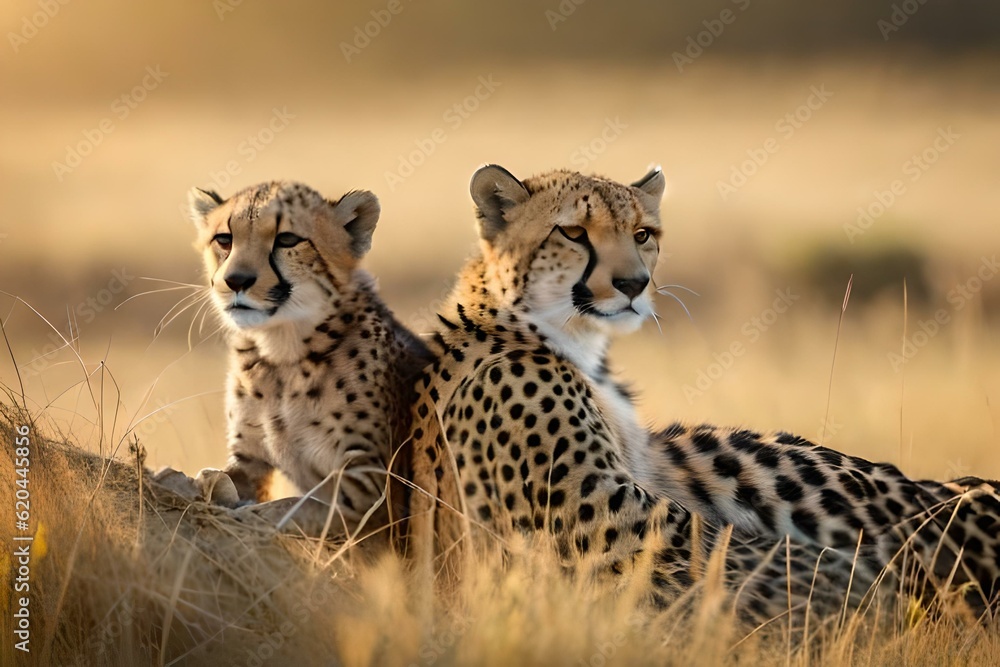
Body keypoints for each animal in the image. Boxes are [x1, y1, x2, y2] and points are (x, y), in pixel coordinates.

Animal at [189, 180, 431, 539]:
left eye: (287, 239)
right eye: (224, 239)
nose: (236, 281)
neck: (282, 353)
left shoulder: (371, 489)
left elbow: (290, 507)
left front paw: (245, 517)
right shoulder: (249, 458)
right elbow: (220, 477)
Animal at [404, 164, 886, 628]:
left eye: (642, 234)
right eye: (573, 233)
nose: (635, 284)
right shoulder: (623, 521)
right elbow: (734, 551)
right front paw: (865, 578)